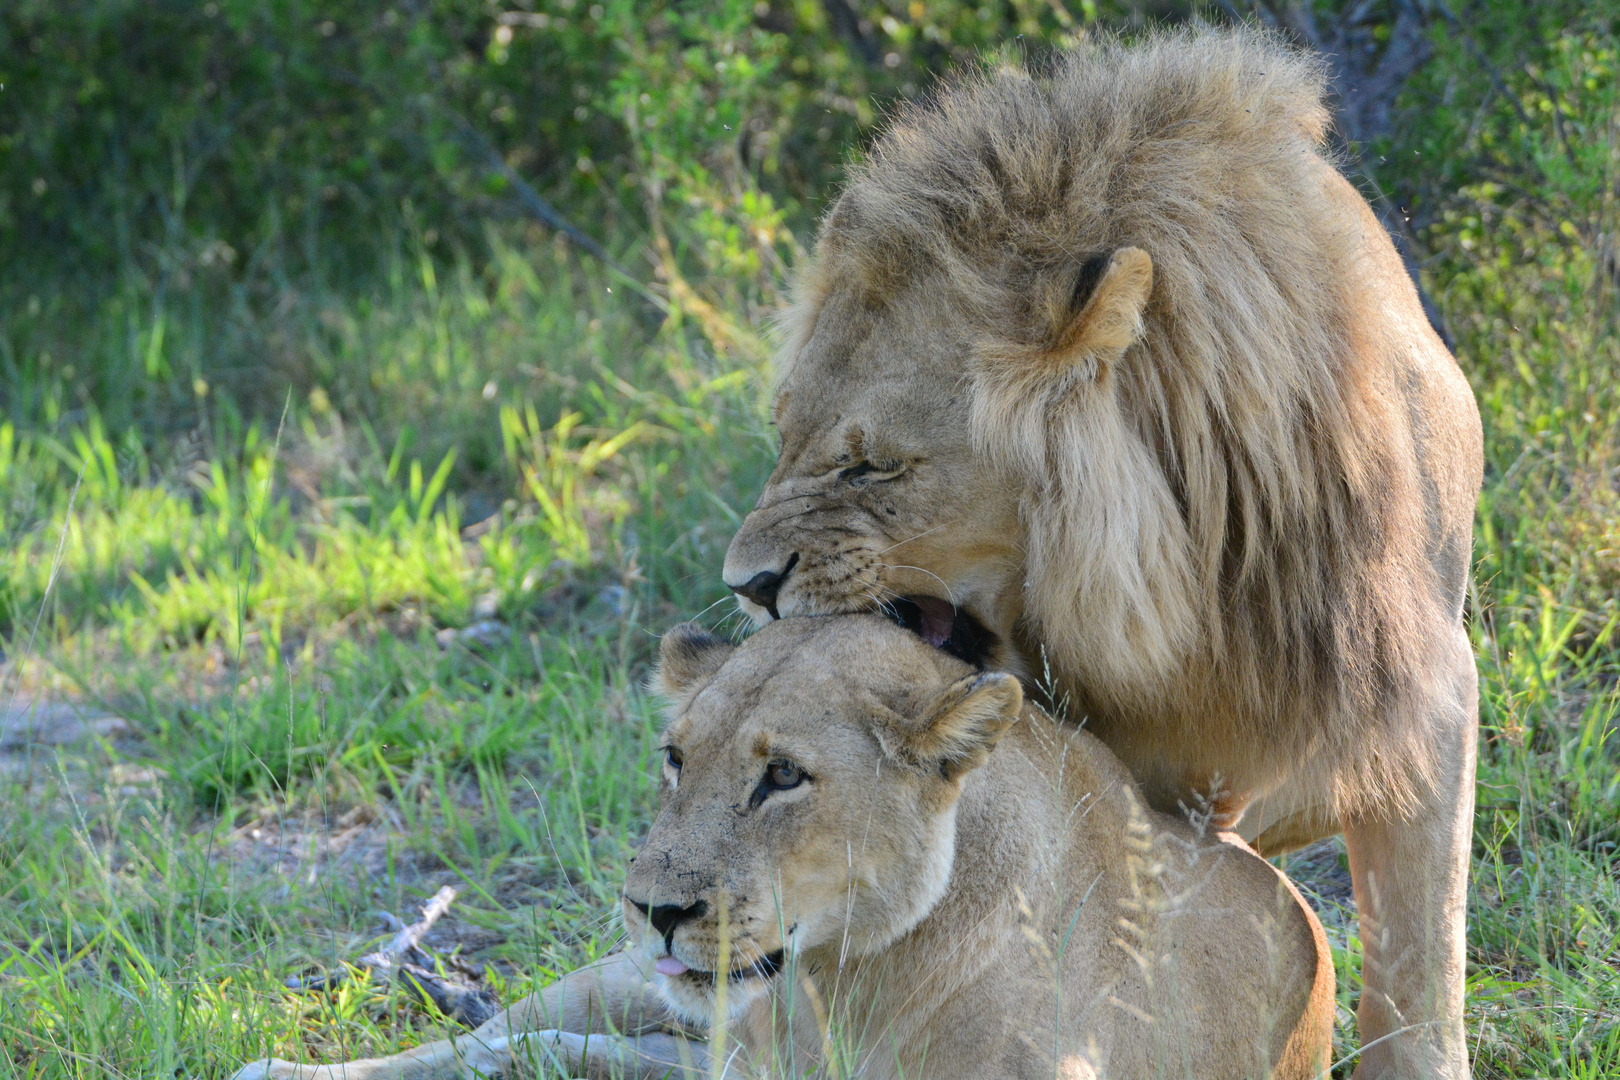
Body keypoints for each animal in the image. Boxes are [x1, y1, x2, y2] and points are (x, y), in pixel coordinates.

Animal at [234, 615, 1334, 1080]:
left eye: (784, 778)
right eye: (675, 757)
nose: (655, 909)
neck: (837, 984)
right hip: (616, 984)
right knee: (497, 1038)